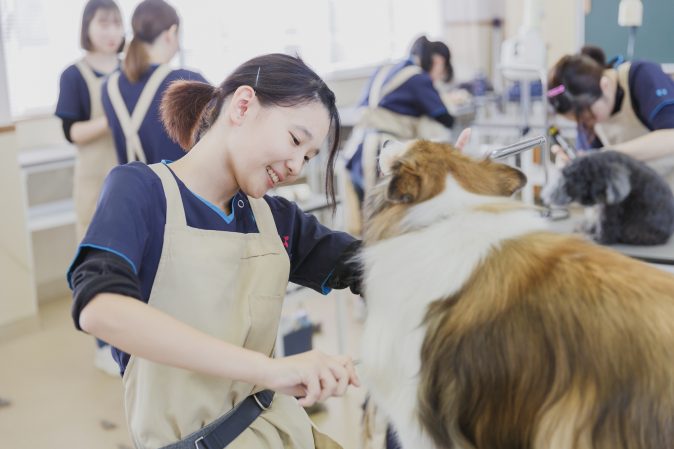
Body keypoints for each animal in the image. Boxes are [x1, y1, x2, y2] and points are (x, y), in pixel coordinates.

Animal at [540, 150, 672, 245]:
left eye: (597, 189)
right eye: (577, 190)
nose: (589, 202)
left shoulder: (611, 208)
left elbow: (605, 222)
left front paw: (600, 239)